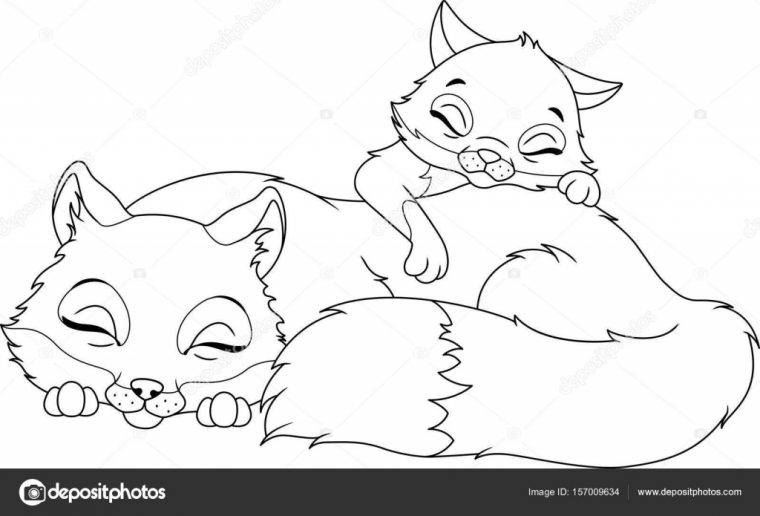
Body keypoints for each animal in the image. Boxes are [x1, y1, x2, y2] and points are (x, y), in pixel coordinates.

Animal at [355, 2, 620, 284]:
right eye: (449, 118)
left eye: (540, 149)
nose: (490, 153)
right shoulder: (381, 172)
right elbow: (409, 205)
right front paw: (430, 253)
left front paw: (581, 184)